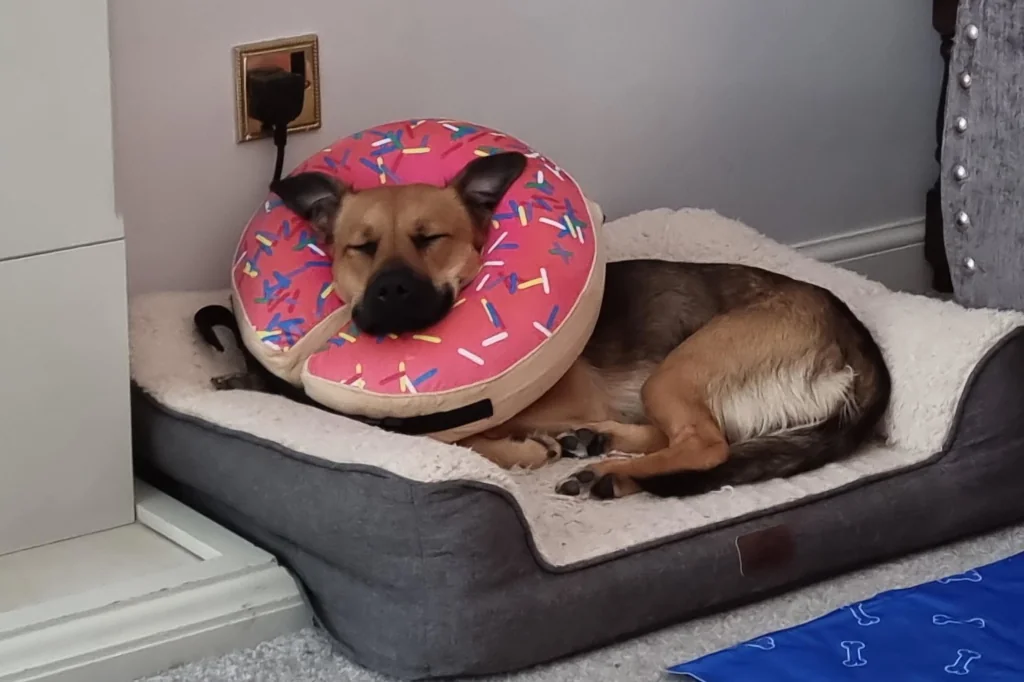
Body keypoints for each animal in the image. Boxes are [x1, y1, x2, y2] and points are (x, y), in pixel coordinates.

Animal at [270, 150, 888, 499]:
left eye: (430, 239)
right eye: (362, 248)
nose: (392, 290)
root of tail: (854, 337)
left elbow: (469, 438)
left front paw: (518, 447)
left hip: (679, 368)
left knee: (705, 444)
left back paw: (604, 470)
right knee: (681, 438)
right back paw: (601, 449)